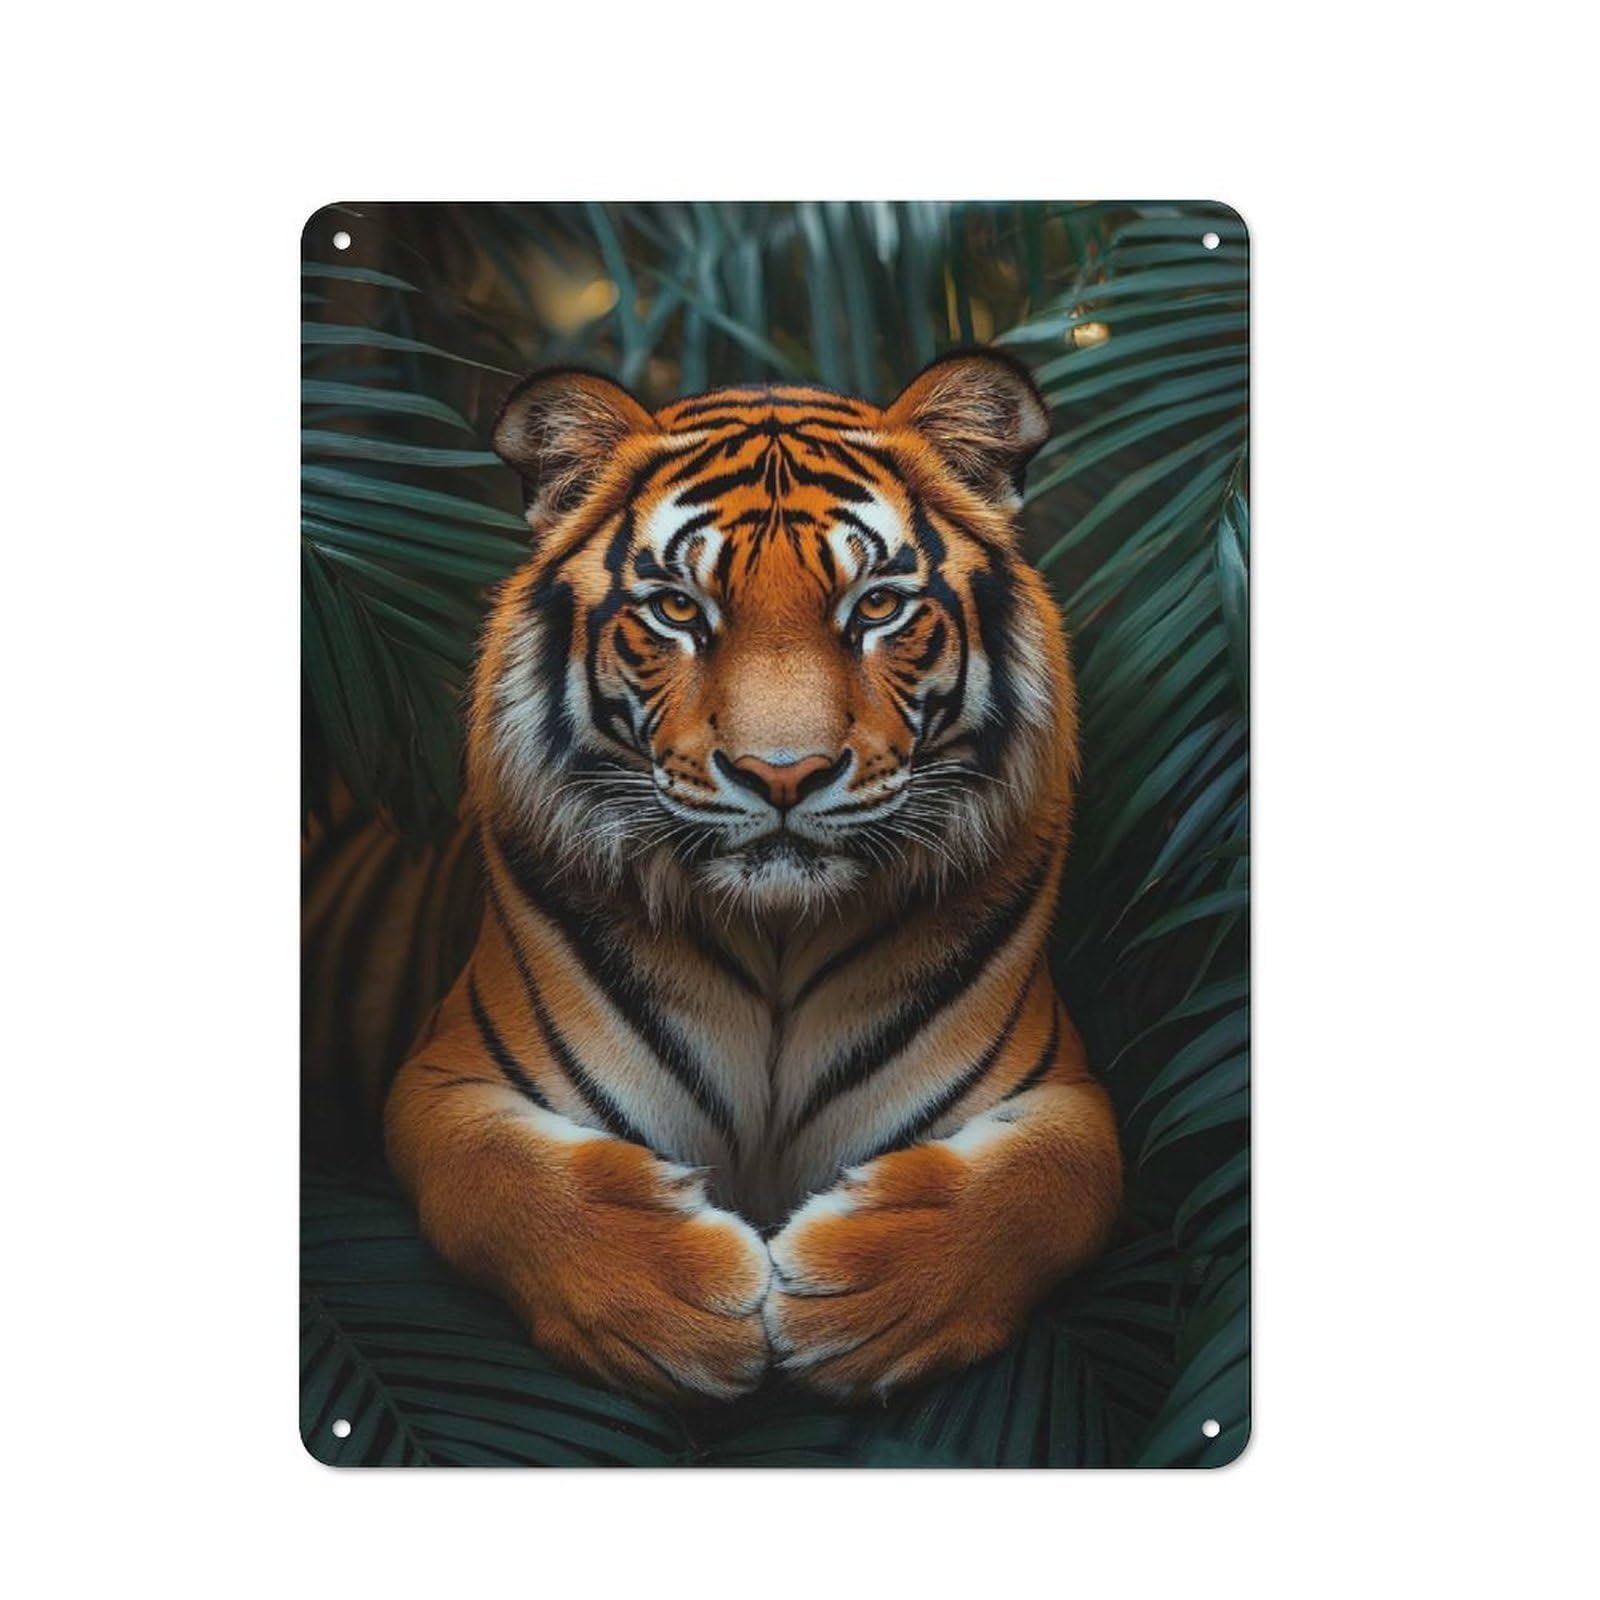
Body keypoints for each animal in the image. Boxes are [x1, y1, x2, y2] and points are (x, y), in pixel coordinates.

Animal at [383, 351, 1123, 1403]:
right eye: (678, 609)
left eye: (877, 605)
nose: (783, 774)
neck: (778, 932)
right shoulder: (446, 1078)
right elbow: (496, 1181)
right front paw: (667, 1302)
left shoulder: (1067, 1093)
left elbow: (1054, 1187)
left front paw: (865, 1303)